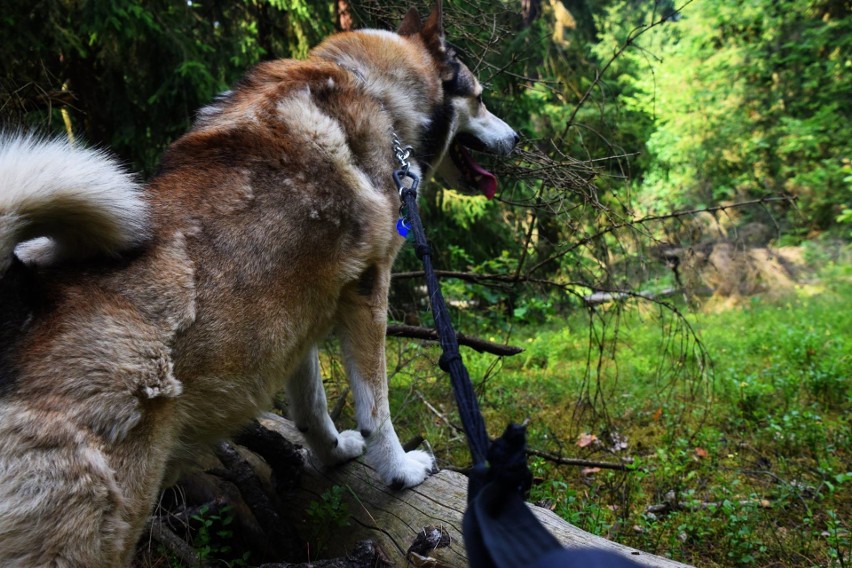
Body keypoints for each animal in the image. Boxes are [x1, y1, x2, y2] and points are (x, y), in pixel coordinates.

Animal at [0, 2, 520, 564]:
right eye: (481, 98)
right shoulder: (367, 294)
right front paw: (401, 471)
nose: (516, 138)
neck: (375, 89)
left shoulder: (300, 318)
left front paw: (333, 455)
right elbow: (376, 410)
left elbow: (312, 409)